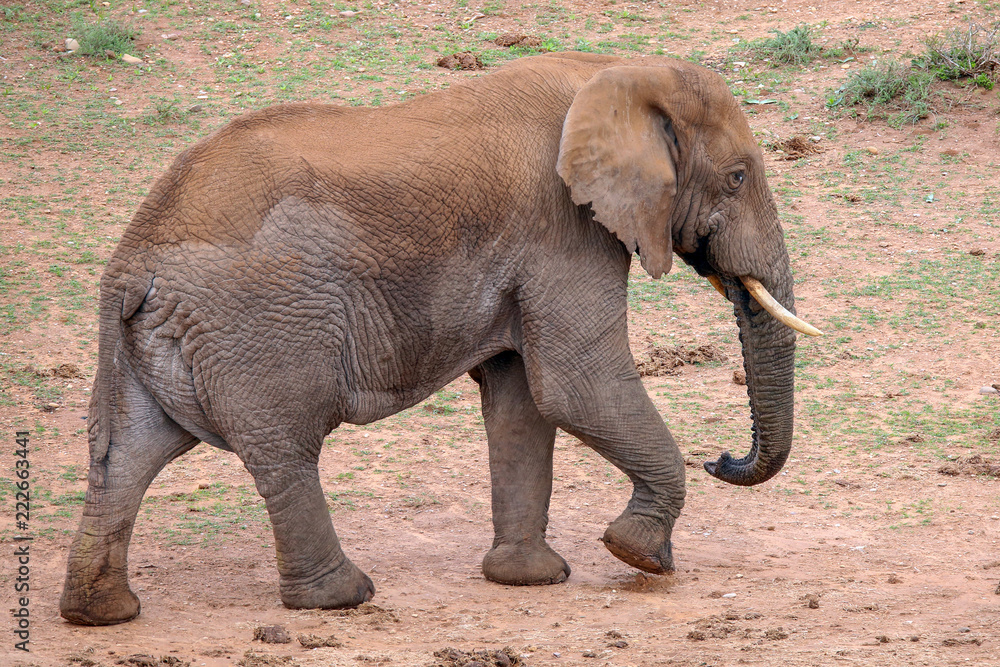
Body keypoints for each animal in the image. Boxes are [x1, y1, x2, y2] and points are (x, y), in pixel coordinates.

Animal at [60, 51, 820, 626]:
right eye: (737, 177)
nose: (721, 456)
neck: (616, 73)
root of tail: (133, 258)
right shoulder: (562, 225)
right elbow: (575, 384)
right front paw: (638, 555)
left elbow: (523, 400)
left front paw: (528, 578)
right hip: (257, 322)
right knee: (285, 448)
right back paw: (342, 598)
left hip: (155, 337)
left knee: (126, 454)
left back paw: (103, 613)